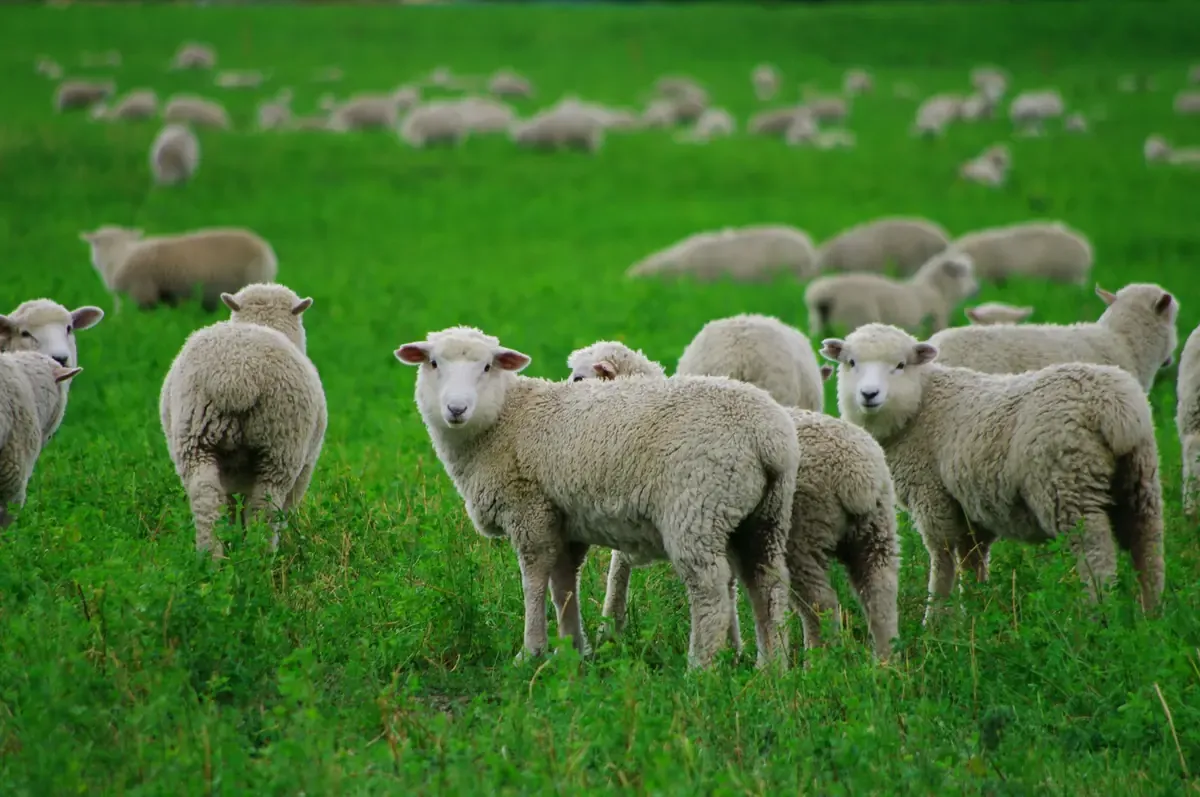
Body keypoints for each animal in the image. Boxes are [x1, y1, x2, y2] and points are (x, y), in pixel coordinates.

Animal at [160, 283, 325, 559]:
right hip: (281, 446)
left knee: (207, 496)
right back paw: (260, 557)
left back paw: (211, 557)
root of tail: (237, 375)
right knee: (265, 505)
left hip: (194, 439)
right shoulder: (306, 467)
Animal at [395, 326, 796, 669]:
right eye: (434, 363)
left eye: (487, 366)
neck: (505, 420)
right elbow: (563, 585)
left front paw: (530, 652)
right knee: (769, 584)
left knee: (710, 590)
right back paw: (772, 668)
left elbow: (533, 582)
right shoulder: (562, 517)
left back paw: (700, 668)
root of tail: (766, 436)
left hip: (696, 508)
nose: (456, 409)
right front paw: (573, 650)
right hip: (764, 515)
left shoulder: (530, 510)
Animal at [566, 341, 900, 660]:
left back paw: (818, 660)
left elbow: (618, 571)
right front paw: (733, 649)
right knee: (879, 592)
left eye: (579, 378)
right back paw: (883, 661)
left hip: (804, 534)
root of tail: (858, 476)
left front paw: (608, 633)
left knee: (820, 601)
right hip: (873, 531)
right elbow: (729, 590)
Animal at [804, 249, 979, 339]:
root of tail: (823, 294)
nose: (976, 289)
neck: (935, 288)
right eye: (965, 272)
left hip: (817, 322)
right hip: (852, 320)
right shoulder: (937, 320)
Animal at [821, 323, 1165, 615]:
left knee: (1095, 553)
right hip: (1139, 478)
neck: (920, 406)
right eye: (851, 362)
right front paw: (975, 612)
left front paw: (936, 620)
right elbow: (972, 560)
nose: (869, 394)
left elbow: (942, 558)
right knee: (1147, 546)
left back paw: (1097, 615)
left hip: (1069, 482)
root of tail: (1114, 408)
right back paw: (1151, 616)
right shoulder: (970, 508)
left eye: (901, 365)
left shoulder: (932, 496)